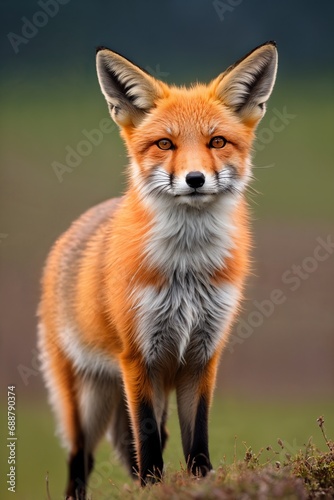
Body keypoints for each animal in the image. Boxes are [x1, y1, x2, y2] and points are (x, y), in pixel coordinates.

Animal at [37, 42, 278, 496]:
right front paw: (153, 485)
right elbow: (147, 440)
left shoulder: (203, 354)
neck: (187, 267)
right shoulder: (138, 357)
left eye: (217, 141)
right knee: (80, 459)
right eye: (165, 143)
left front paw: (200, 481)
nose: (195, 179)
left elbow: (195, 438)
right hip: (86, 398)